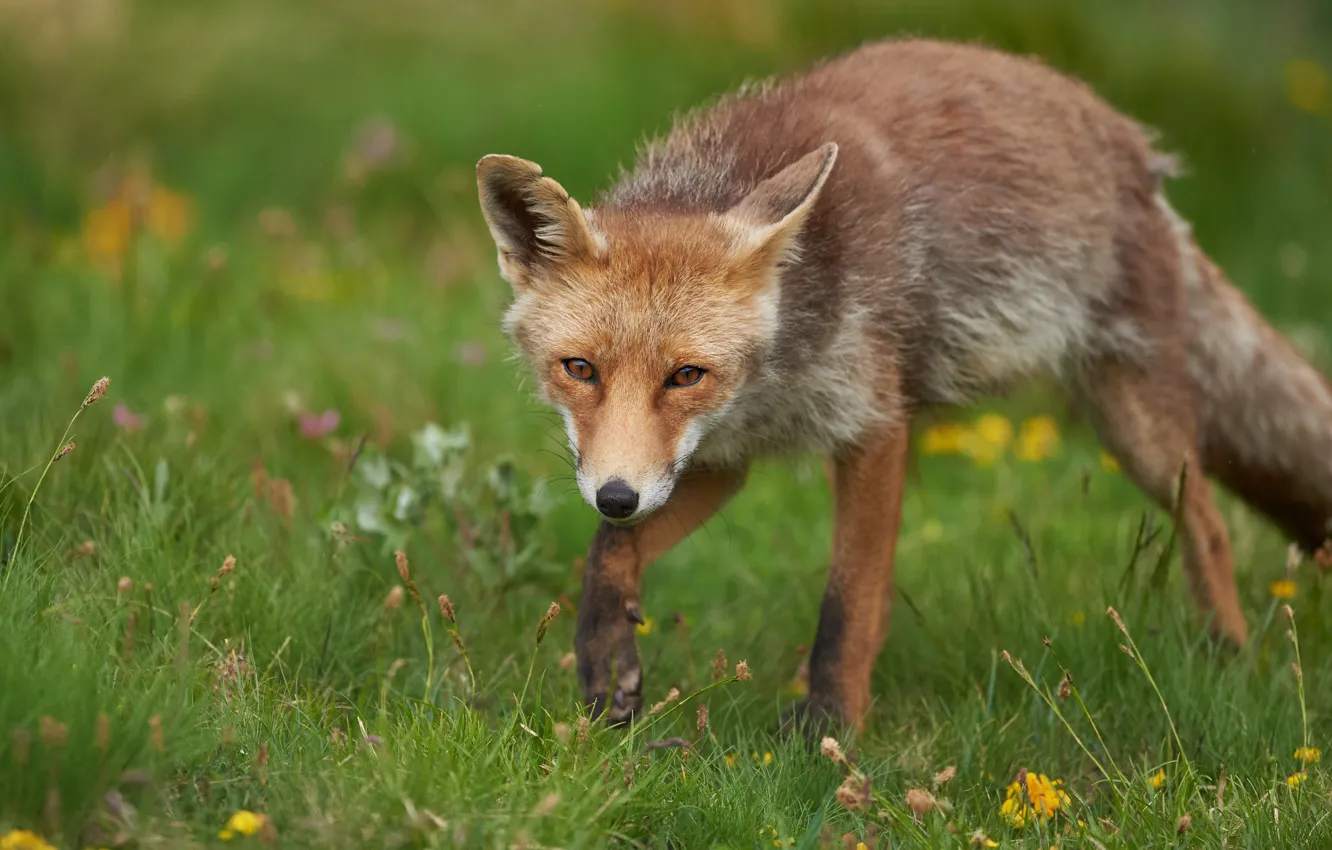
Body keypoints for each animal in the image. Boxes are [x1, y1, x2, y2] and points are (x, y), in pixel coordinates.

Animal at [476, 38, 1332, 735]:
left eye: (687, 375)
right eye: (579, 369)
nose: (616, 495)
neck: (781, 364)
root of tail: (1129, 140)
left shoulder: (870, 425)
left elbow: (847, 602)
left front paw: (829, 734)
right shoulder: (716, 457)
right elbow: (607, 554)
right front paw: (606, 665)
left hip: (1136, 427)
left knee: (1209, 524)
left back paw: (1228, 655)